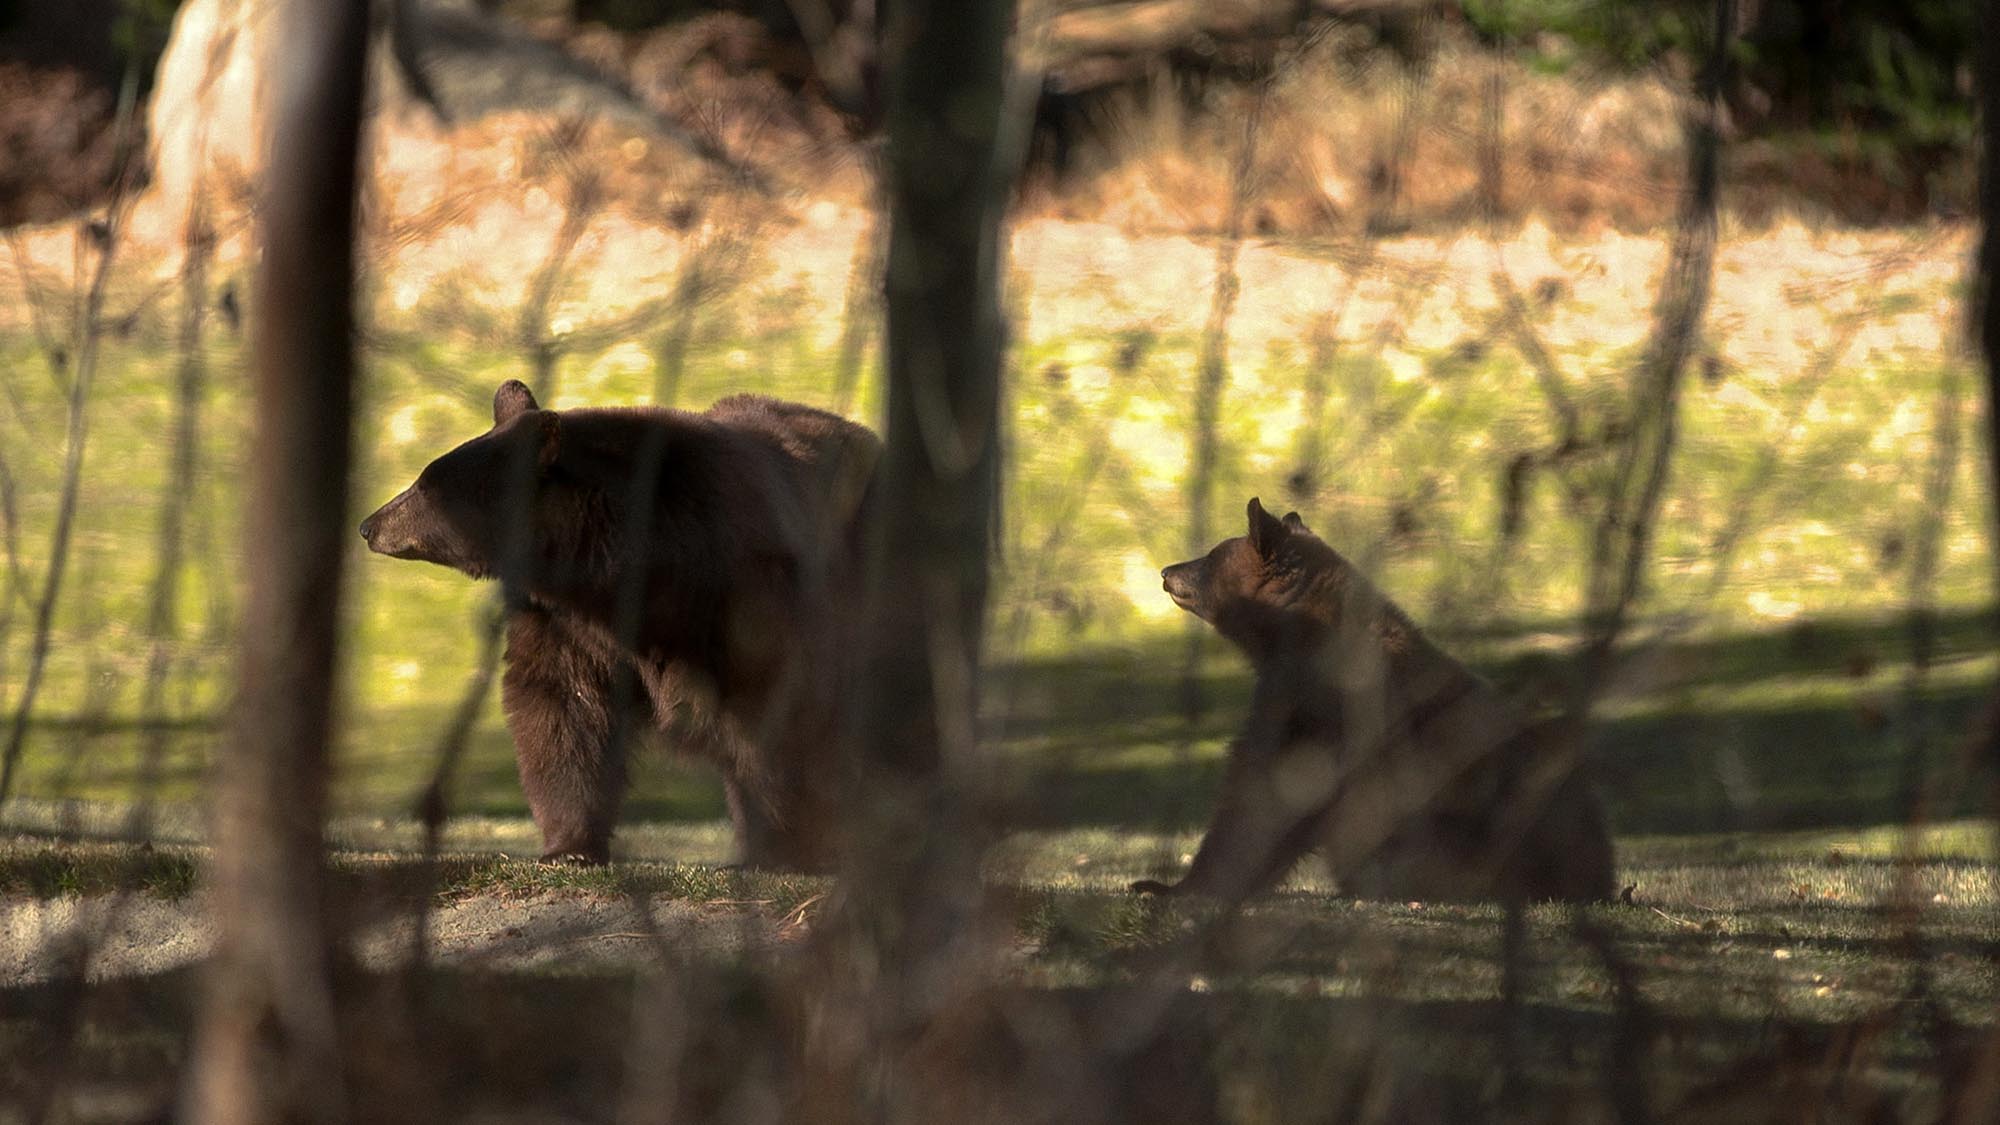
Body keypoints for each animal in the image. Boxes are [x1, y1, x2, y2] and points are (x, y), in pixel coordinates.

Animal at [364, 380, 880, 860]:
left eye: (427, 484)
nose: (369, 525)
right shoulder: (569, 623)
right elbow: (562, 707)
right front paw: (569, 845)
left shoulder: (749, 598)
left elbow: (775, 721)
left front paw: (784, 844)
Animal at [1136, 498, 1616, 900]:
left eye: (1211, 555)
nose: (1165, 571)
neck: (1292, 638)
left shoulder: (1314, 707)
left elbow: (1264, 797)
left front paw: (1169, 887)